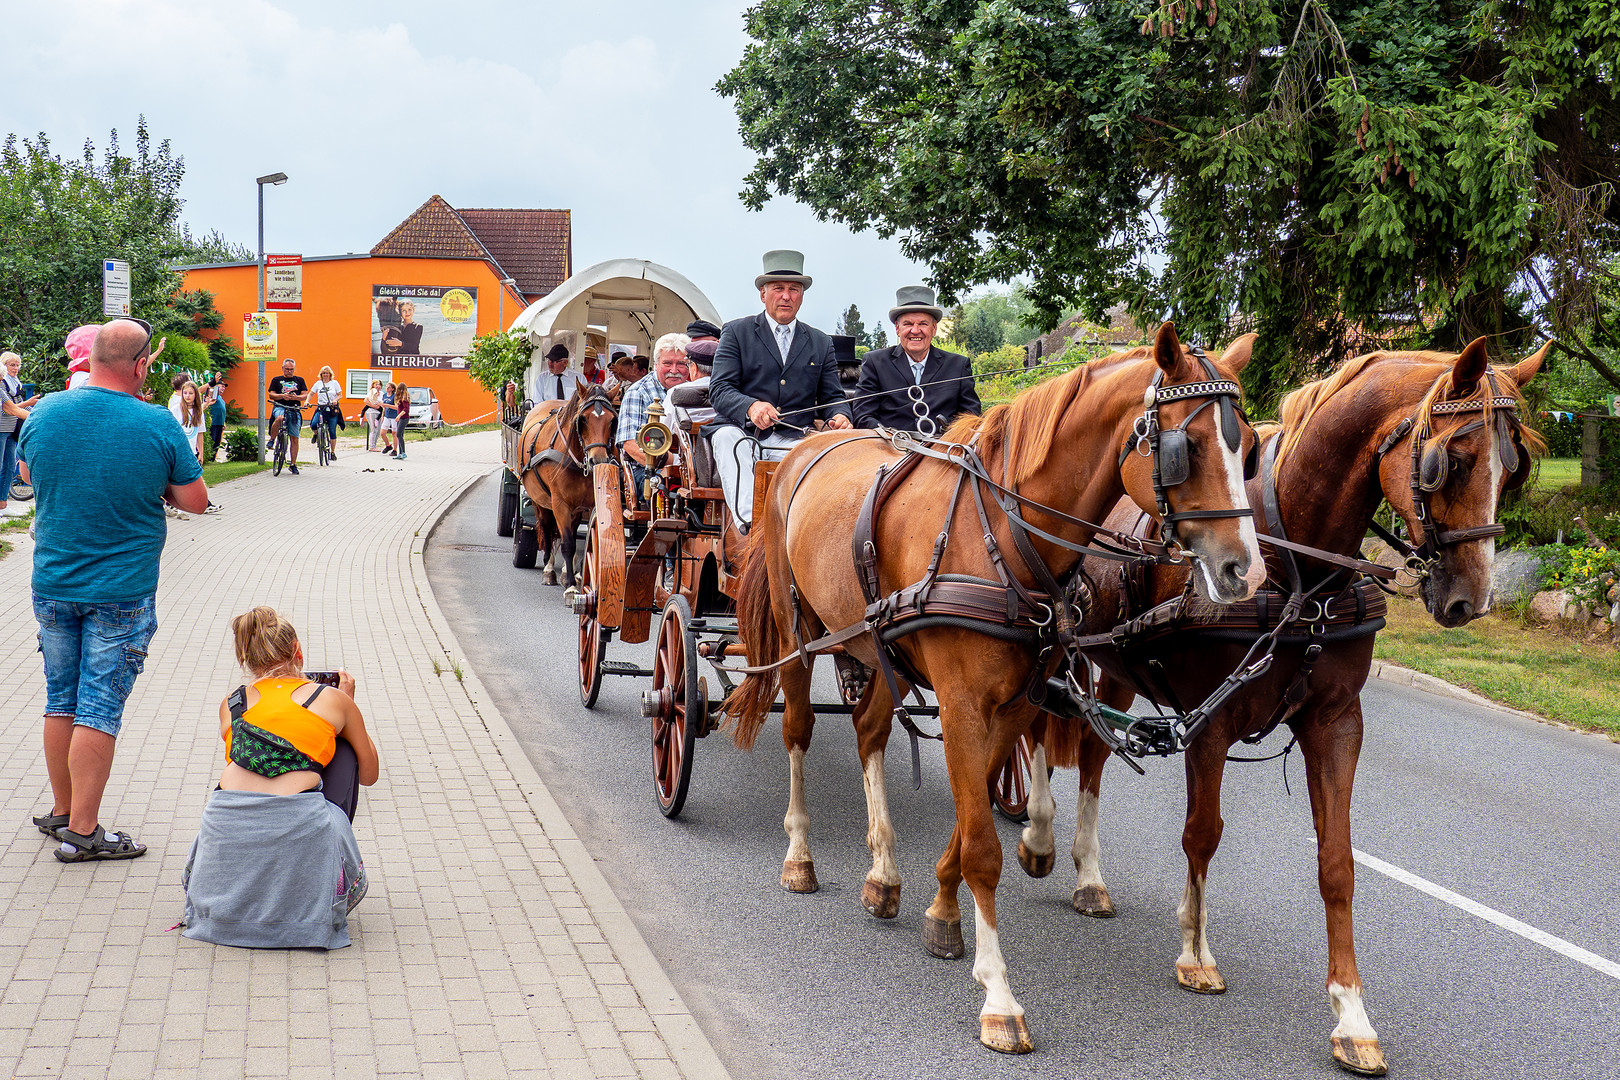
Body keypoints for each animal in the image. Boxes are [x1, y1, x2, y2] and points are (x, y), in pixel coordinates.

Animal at [518, 383, 618, 592]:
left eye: (612, 420)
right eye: (583, 419)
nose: (598, 461)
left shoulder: (590, 504)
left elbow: (589, 540)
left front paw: (577, 573)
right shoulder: (560, 504)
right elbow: (567, 543)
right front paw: (571, 586)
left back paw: (565, 569)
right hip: (539, 500)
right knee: (547, 527)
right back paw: (549, 568)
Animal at [722, 325, 1263, 1049]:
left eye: (1249, 447)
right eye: (1187, 447)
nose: (1245, 570)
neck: (997, 533)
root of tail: (804, 446)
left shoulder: (1010, 707)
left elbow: (970, 813)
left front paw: (942, 910)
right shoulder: (960, 705)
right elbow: (983, 846)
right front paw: (999, 996)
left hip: (879, 649)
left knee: (869, 732)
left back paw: (883, 873)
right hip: (797, 632)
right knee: (798, 731)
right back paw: (800, 856)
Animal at [1017, 335, 1548, 1075]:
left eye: (1515, 467)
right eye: (1454, 461)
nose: (1470, 601)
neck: (1299, 571)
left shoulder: (1337, 724)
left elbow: (1338, 865)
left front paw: (1352, 1016)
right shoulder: (1212, 720)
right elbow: (1202, 833)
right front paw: (1195, 952)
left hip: (1117, 666)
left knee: (1093, 753)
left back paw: (1089, 876)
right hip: (1065, 646)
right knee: (1043, 728)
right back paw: (1038, 833)